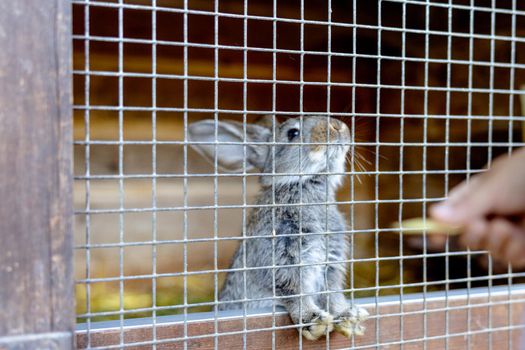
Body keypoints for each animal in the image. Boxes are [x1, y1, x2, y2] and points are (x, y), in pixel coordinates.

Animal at [189, 116, 368, 340]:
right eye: (292, 133)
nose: (337, 126)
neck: (305, 184)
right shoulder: (281, 257)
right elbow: (293, 291)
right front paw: (314, 321)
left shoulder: (332, 262)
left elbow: (333, 294)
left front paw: (349, 317)